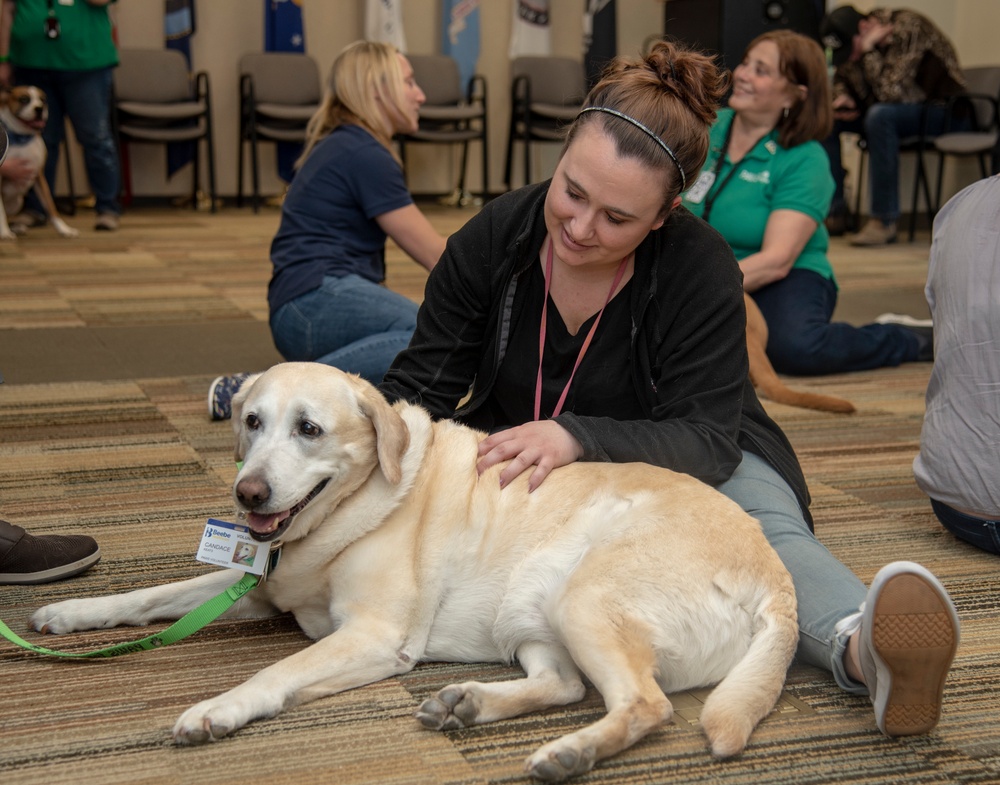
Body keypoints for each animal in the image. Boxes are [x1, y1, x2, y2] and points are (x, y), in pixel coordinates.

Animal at [0, 84, 78, 240]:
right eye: (24, 99)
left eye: (43, 99)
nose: (39, 109)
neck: (21, 137)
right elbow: (1, 212)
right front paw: (4, 232)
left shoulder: (39, 174)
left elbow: (50, 206)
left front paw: (65, 229)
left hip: (18, 202)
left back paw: (18, 227)